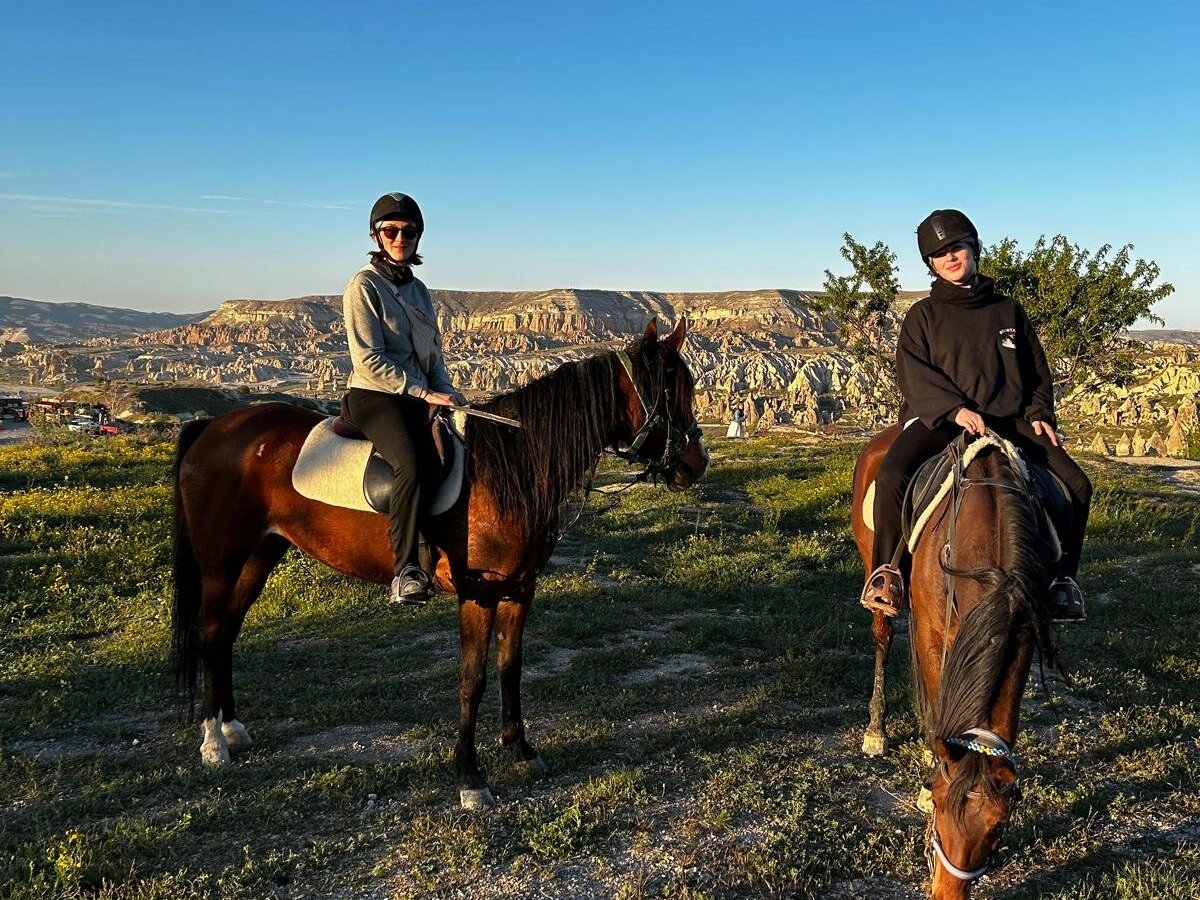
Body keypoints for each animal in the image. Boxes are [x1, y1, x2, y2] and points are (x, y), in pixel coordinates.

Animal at [174, 319, 705, 811]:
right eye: (668, 389)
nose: (696, 464)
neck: (511, 466)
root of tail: (215, 427)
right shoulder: (479, 593)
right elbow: (473, 680)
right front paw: (470, 779)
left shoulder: (520, 588)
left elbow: (510, 668)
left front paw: (521, 749)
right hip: (221, 560)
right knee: (210, 632)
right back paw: (213, 742)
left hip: (261, 554)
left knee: (226, 633)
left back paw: (232, 727)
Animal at [849, 424, 1056, 900]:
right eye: (940, 808)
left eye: (999, 828)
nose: (945, 892)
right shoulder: (931, 631)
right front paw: (928, 769)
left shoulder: (1021, 635)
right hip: (876, 574)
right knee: (883, 638)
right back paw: (876, 730)